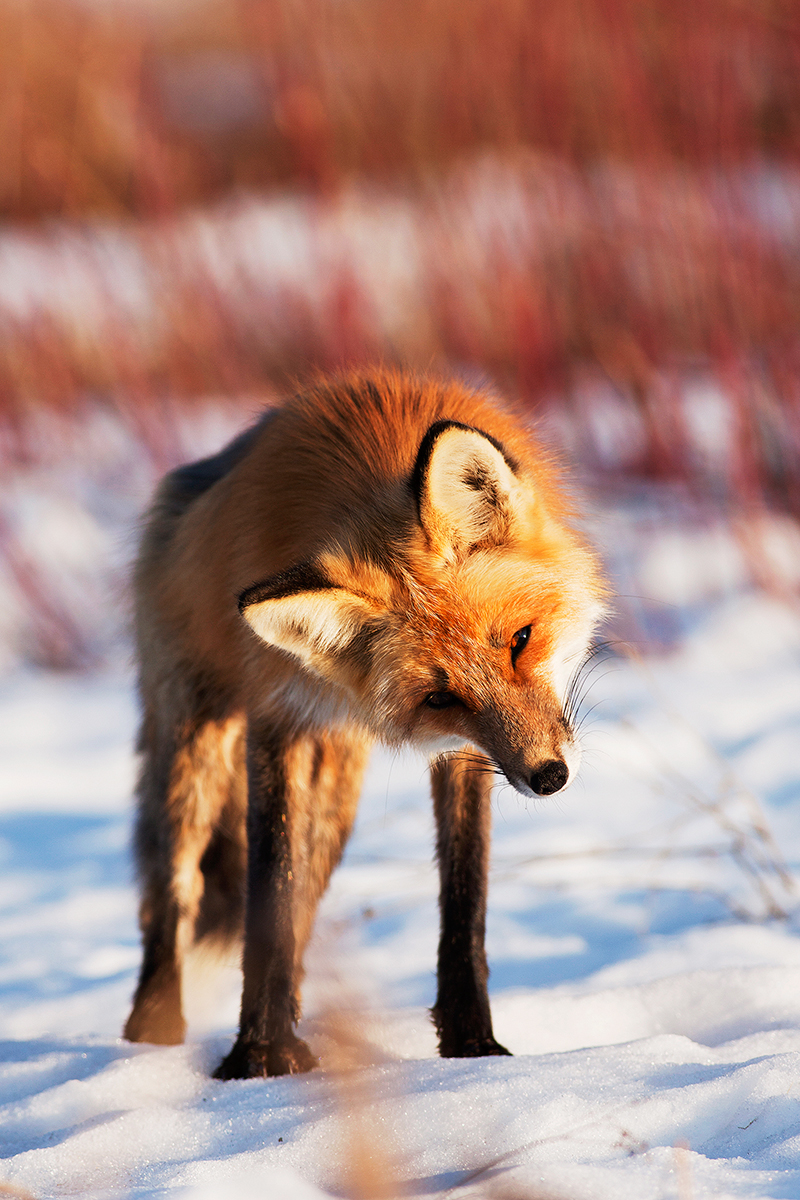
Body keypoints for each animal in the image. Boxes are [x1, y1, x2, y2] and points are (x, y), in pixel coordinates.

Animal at [122, 364, 604, 1080]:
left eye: (520, 640)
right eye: (441, 697)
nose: (548, 778)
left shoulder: (464, 755)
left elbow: (465, 898)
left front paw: (473, 1047)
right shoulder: (277, 714)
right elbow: (269, 882)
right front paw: (257, 1056)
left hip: (335, 802)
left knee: (302, 902)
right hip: (195, 751)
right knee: (171, 895)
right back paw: (151, 1035)